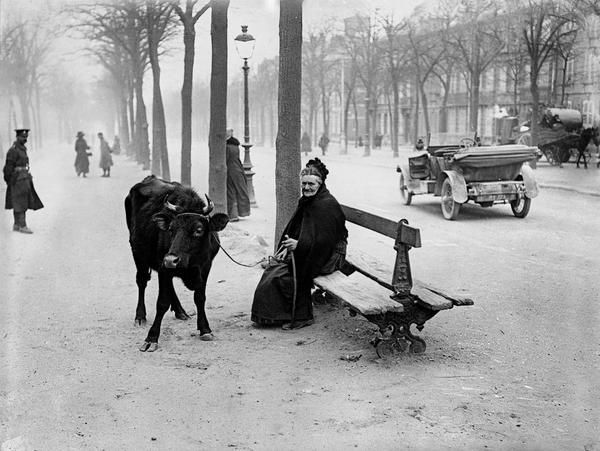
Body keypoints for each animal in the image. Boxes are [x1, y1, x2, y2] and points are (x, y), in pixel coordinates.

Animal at [125, 175, 229, 352]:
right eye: (171, 229)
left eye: (199, 230)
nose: (170, 260)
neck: (191, 264)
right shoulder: (163, 266)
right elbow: (161, 303)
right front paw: (151, 338)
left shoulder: (205, 267)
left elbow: (200, 298)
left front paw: (205, 329)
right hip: (137, 251)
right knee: (142, 281)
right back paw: (140, 316)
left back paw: (180, 311)